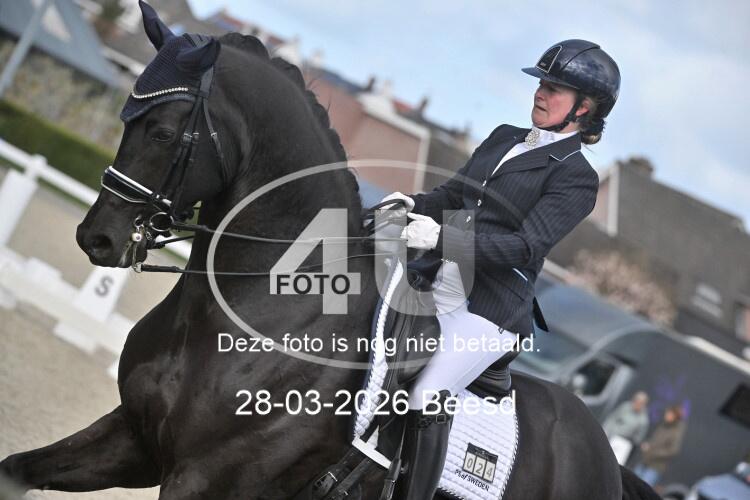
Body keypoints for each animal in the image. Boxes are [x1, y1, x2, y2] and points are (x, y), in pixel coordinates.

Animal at [0, 4, 658, 499]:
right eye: (125, 119)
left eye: (162, 131)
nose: (98, 238)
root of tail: (606, 456)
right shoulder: (132, 442)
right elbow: (15, 469)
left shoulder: (203, 479)